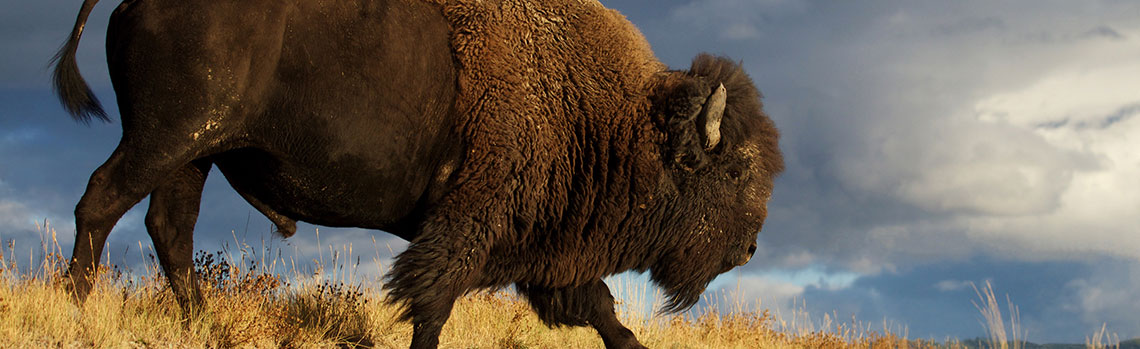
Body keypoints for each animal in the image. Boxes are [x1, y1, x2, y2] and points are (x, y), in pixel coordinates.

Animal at [53, 0, 784, 346]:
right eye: (734, 170)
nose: (749, 248)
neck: (615, 116)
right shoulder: (468, 226)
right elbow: (432, 304)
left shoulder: (547, 253)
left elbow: (602, 311)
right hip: (164, 139)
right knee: (100, 203)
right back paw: (77, 312)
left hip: (193, 154)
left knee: (168, 229)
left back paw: (200, 325)